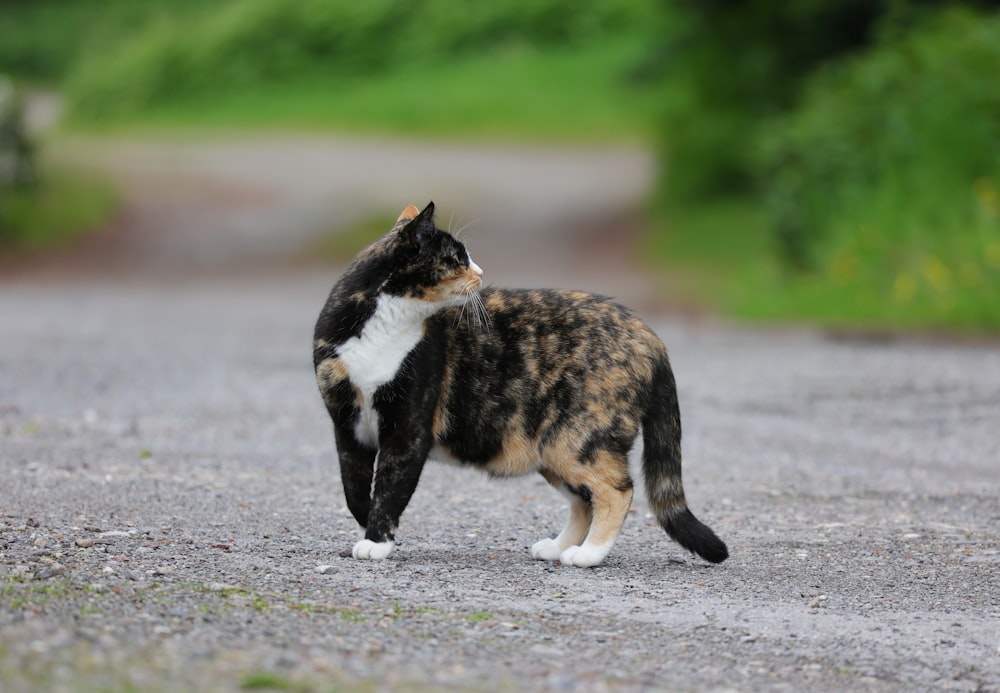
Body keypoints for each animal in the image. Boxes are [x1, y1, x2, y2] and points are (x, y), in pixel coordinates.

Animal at [312, 201, 728, 568]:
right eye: (458, 258)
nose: (481, 271)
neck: (385, 325)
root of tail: (648, 334)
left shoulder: (408, 431)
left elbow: (390, 488)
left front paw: (376, 541)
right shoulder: (346, 426)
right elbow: (354, 488)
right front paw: (368, 529)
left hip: (577, 440)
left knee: (615, 490)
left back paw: (588, 555)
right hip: (551, 446)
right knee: (583, 500)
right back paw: (558, 547)